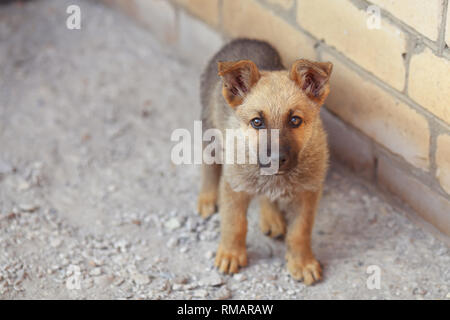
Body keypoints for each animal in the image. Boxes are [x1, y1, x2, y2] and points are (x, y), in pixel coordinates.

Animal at [199, 38, 332, 286]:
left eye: (295, 120)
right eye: (257, 122)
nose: (276, 160)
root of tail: (244, 39)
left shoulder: (308, 192)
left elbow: (300, 231)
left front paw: (302, 262)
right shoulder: (234, 186)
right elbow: (234, 223)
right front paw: (231, 253)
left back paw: (271, 218)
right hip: (209, 131)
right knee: (209, 168)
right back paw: (206, 198)